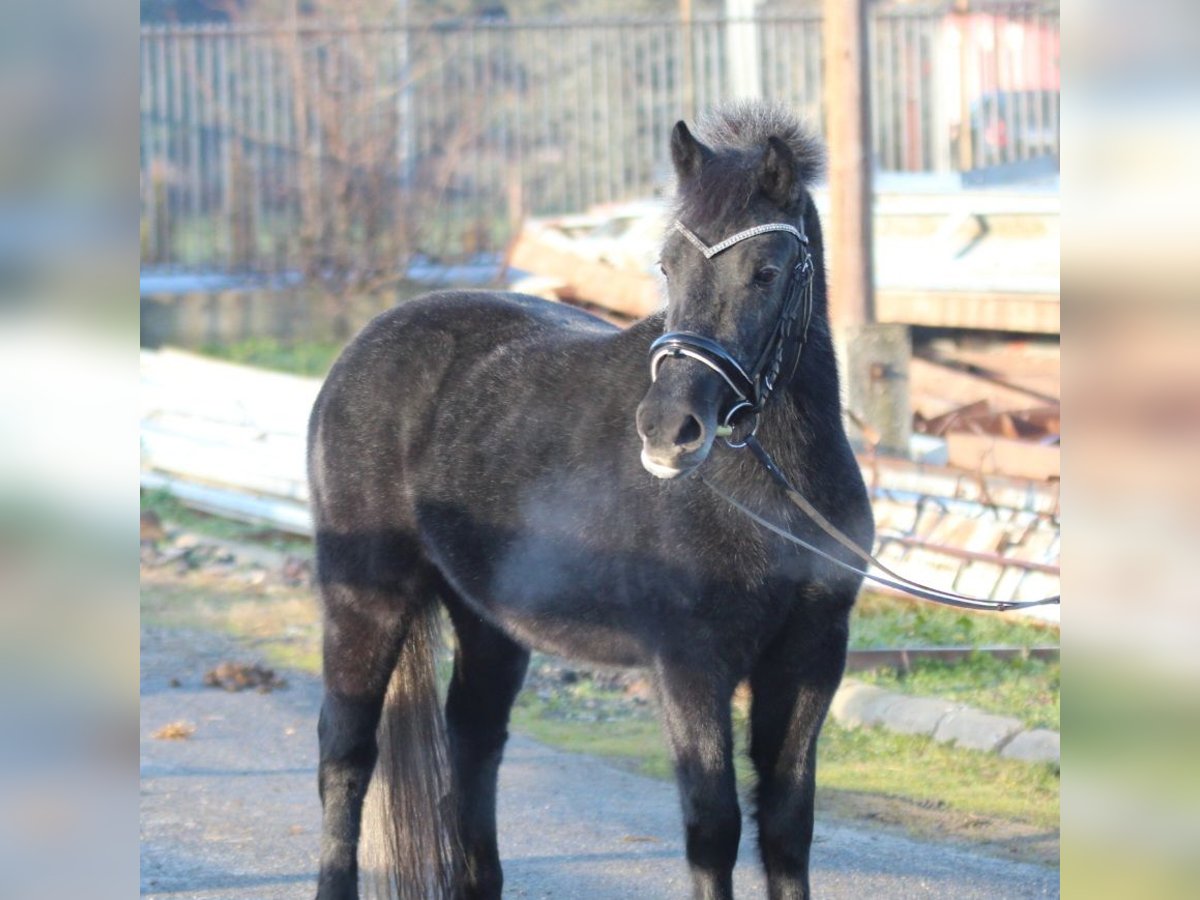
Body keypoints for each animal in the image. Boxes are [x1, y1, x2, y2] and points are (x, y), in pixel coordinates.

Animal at [309, 102, 873, 900]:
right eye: (667, 266)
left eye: (765, 271)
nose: (669, 429)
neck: (772, 493)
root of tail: (362, 348)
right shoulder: (689, 663)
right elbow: (713, 827)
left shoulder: (810, 657)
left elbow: (787, 826)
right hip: (364, 598)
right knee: (347, 754)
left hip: (487, 621)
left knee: (473, 741)